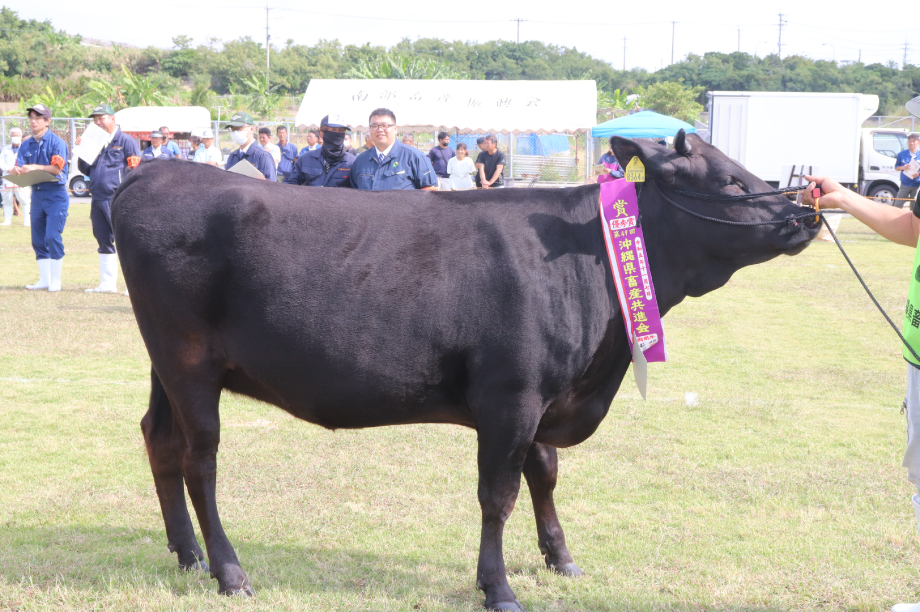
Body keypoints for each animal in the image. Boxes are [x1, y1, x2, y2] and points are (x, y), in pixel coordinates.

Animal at [113, 131, 820, 608]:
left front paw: (561, 559)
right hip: (188, 362)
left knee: (159, 440)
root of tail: (156, 172)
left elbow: (545, 473)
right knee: (200, 457)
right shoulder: (512, 395)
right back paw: (228, 571)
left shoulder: (545, 396)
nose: (807, 211)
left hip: (161, 363)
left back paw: (186, 554)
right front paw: (498, 586)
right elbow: (497, 494)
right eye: (731, 184)